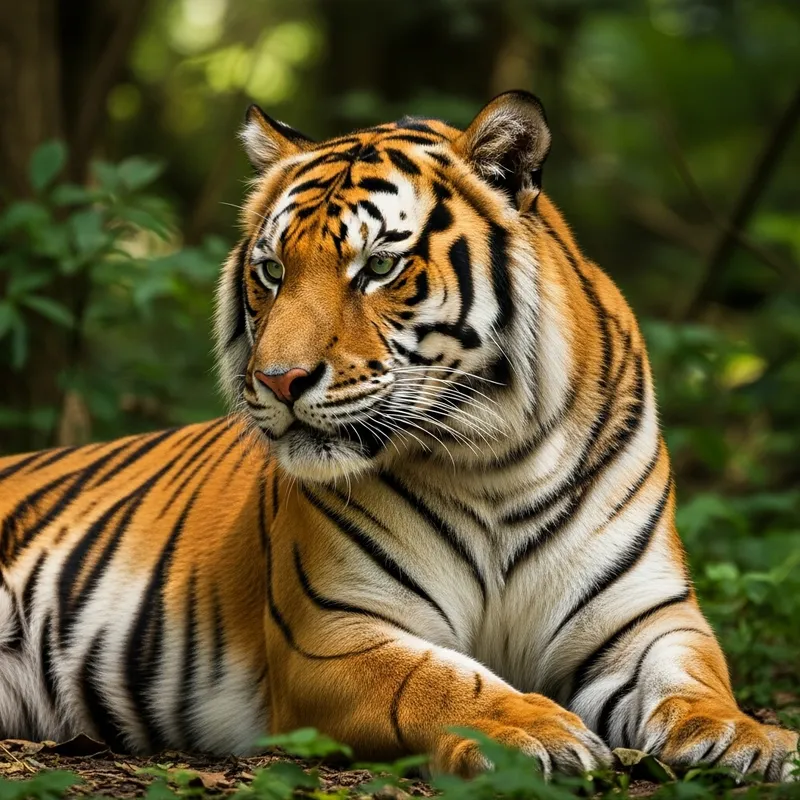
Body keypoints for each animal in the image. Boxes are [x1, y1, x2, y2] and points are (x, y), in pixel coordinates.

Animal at [0, 91, 797, 781]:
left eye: (379, 266)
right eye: (272, 271)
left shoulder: (644, 619)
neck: (497, 460)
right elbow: (439, 683)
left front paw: (749, 737)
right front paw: (530, 731)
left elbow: (695, 680)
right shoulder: (335, 633)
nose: (279, 381)